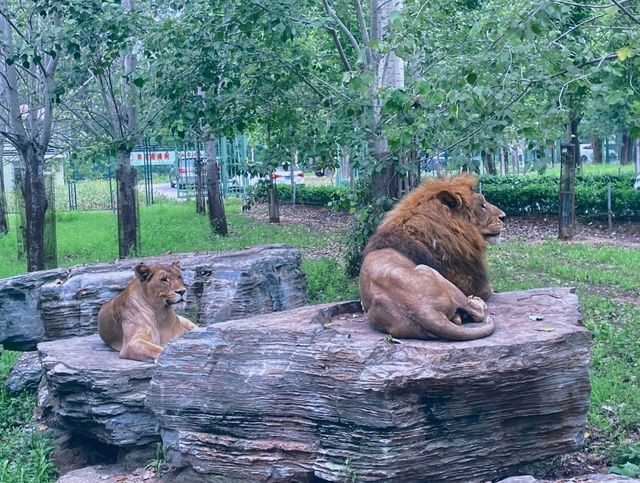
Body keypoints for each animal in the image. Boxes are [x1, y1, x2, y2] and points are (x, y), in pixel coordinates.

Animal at [360, 174, 504, 340]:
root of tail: (424, 312)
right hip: (430, 272)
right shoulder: (467, 280)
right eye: (482, 205)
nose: (503, 217)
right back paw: (476, 302)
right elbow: (488, 289)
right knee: (478, 312)